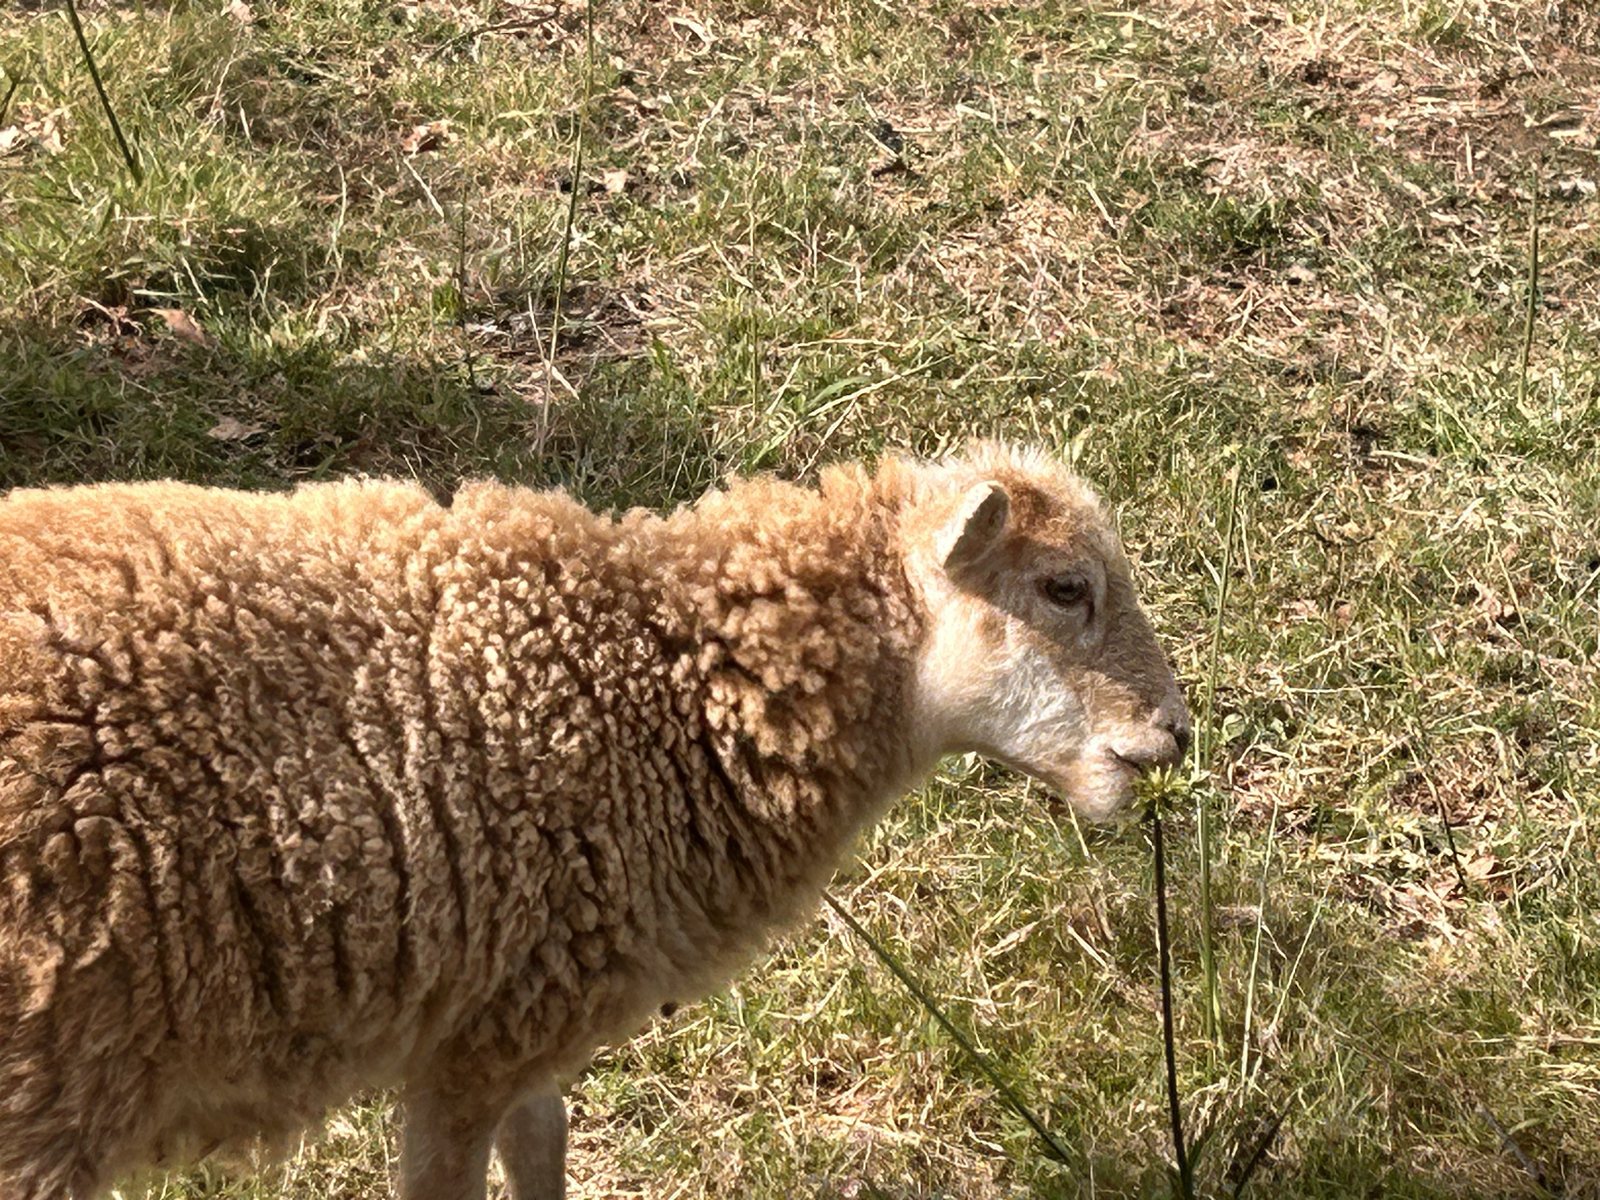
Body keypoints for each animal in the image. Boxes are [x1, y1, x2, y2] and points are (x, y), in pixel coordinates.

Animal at [0, 441, 1189, 1200]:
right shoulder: (475, 1038)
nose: (1174, 735)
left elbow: (545, 1147)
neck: (653, 676)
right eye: (1065, 588)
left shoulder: (530, 1007)